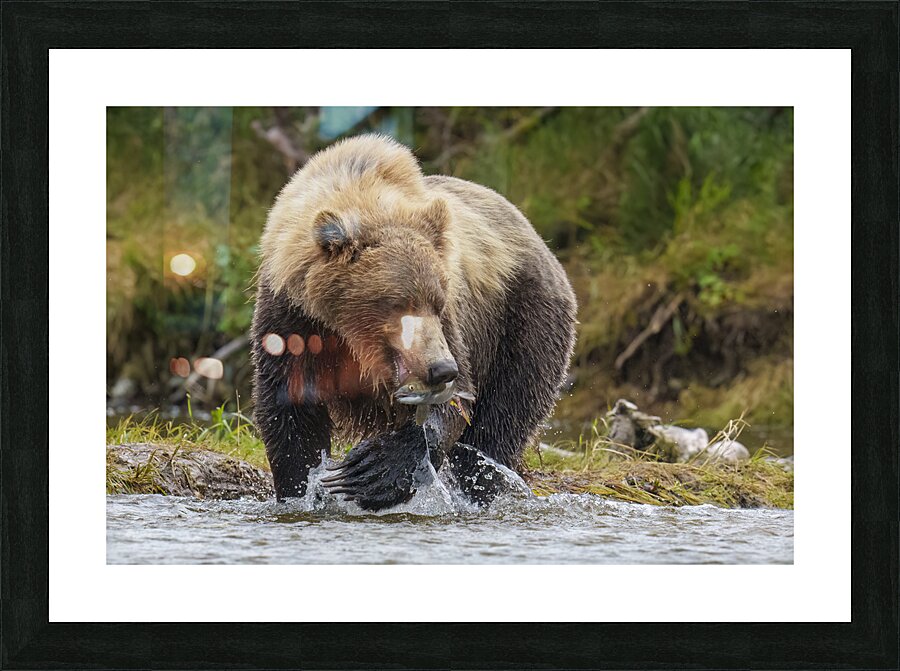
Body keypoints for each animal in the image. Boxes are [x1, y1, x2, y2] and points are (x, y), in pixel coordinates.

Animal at [251, 134, 576, 511]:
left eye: (436, 301)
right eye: (397, 303)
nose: (441, 368)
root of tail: (542, 243)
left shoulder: (452, 323)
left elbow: (454, 404)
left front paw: (373, 469)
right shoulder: (293, 319)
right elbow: (291, 412)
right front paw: (302, 489)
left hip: (522, 321)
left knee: (501, 419)